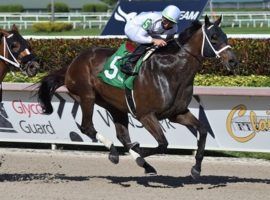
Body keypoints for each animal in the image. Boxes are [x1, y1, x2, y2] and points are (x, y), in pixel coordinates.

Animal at [37, 16, 236, 179]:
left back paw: (139, 163)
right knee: (87, 127)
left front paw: (196, 169)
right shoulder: (146, 115)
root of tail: (72, 64)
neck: (170, 71)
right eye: (214, 37)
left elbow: (203, 130)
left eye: (225, 36)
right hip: (86, 96)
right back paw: (115, 152)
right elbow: (162, 144)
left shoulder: (177, 113)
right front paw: (139, 154)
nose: (233, 61)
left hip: (114, 105)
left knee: (122, 136)